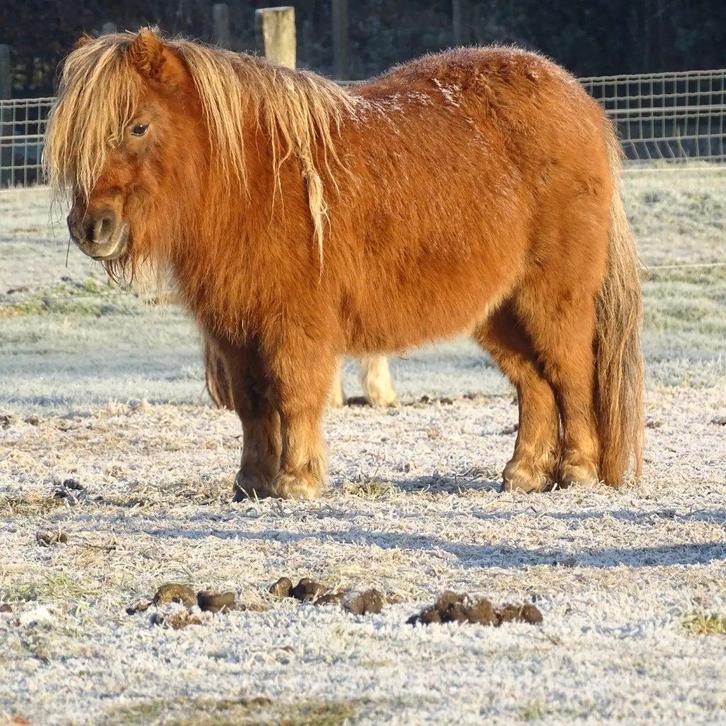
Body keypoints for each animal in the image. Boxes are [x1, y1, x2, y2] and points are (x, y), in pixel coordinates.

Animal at [44, 28, 644, 500]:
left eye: (138, 127)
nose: (91, 228)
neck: (255, 180)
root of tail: (578, 100)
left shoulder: (294, 325)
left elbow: (294, 395)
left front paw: (297, 481)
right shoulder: (236, 332)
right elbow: (252, 405)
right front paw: (250, 484)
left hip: (551, 297)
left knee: (570, 373)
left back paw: (577, 470)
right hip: (498, 311)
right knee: (534, 384)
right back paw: (522, 474)